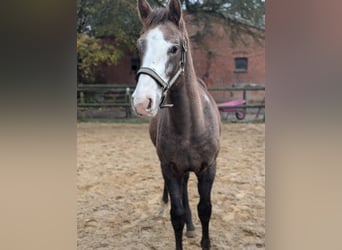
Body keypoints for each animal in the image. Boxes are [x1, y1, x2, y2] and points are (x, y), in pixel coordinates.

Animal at [132, 0, 220, 248]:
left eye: (174, 48)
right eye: (140, 45)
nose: (141, 102)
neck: (189, 127)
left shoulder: (208, 168)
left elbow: (205, 210)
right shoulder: (170, 167)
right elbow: (177, 215)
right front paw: (180, 220)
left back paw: (192, 227)